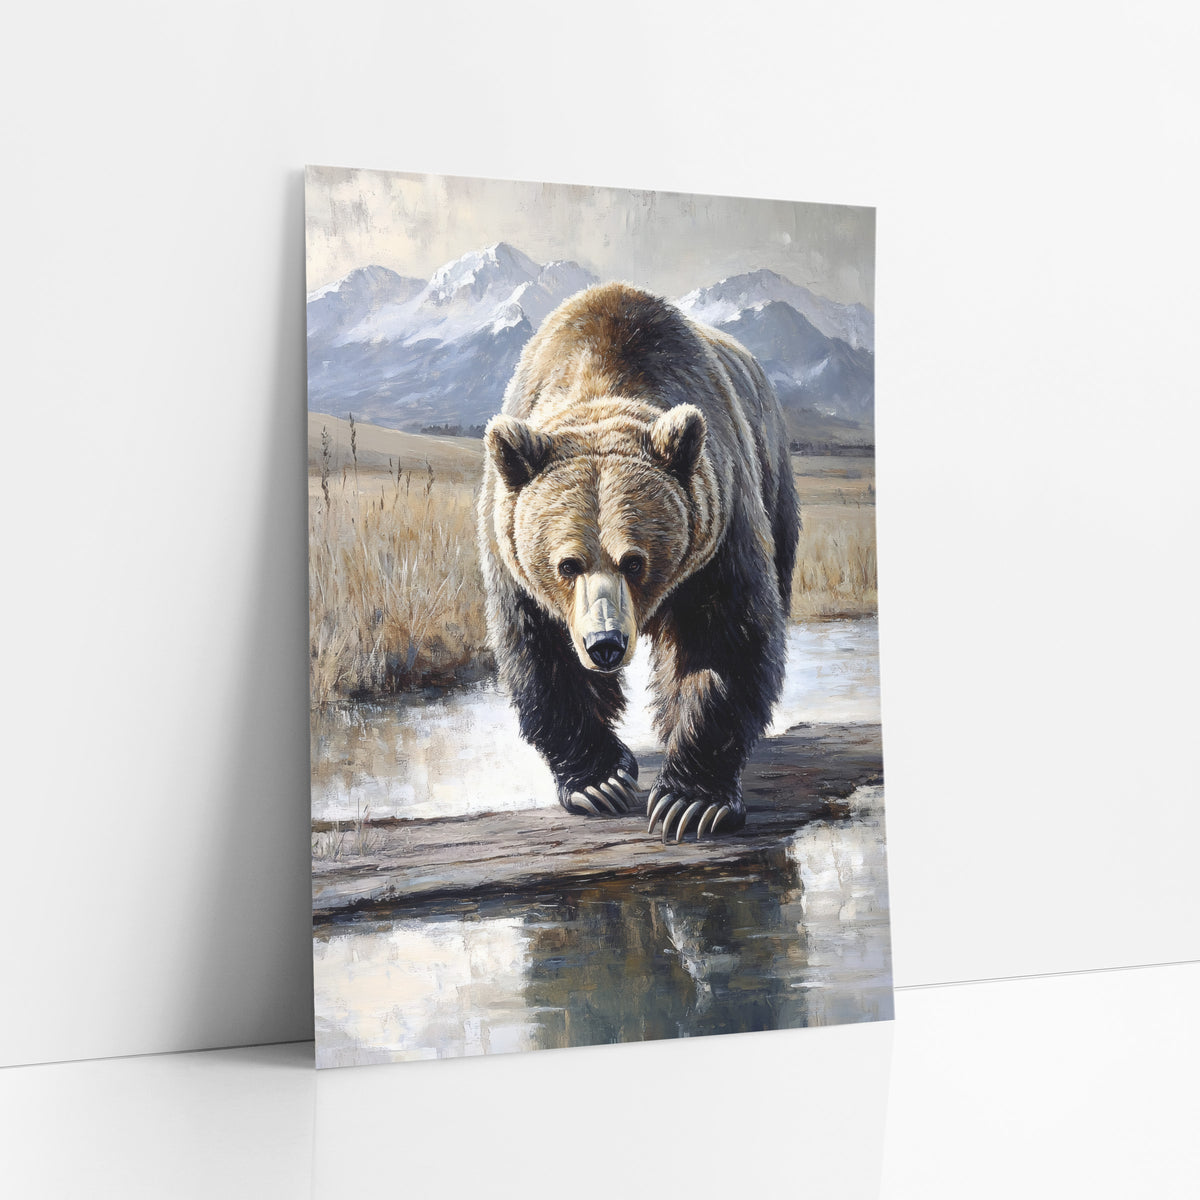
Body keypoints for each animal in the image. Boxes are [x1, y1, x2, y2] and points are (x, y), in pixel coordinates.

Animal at [477, 282, 800, 842]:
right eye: (567, 564)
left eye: (634, 561)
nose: (605, 644)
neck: (601, 378)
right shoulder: (511, 546)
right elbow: (540, 653)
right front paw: (598, 782)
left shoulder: (719, 529)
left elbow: (726, 639)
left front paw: (691, 801)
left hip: (772, 466)